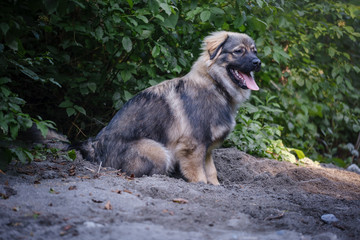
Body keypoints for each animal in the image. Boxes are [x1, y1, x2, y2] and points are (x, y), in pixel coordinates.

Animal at [77, 31, 260, 186]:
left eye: (254, 51)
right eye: (238, 51)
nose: (258, 63)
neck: (216, 84)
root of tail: (96, 148)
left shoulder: (207, 149)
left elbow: (211, 172)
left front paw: (215, 187)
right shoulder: (194, 146)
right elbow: (200, 175)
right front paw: (201, 186)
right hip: (158, 151)